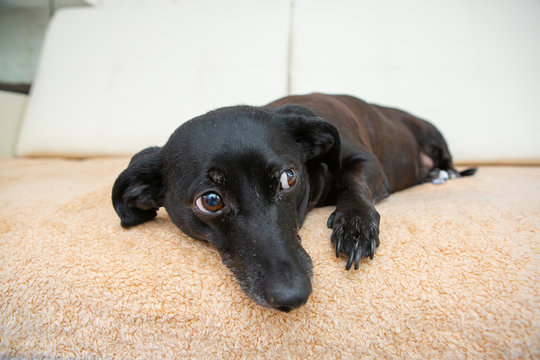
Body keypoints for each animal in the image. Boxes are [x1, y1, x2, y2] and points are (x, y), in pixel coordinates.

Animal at [112, 93, 474, 312]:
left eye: (289, 177)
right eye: (211, 200)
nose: (293, 296)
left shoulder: (367, 164)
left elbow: (352, 182)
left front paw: (355, 226)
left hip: (433, 136)